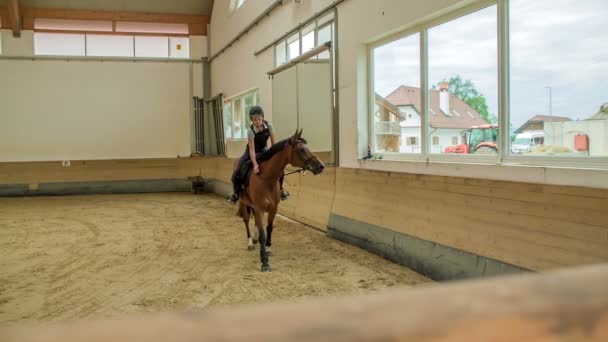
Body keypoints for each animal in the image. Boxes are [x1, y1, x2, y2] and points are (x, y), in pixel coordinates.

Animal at [235, 129, 326, 272]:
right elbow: (263, 233)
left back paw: (254, 239)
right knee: (246, 220)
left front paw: (267, 249)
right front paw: (264, 262)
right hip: (243, 203)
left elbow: (269, 228)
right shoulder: (259, 209)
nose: (321, 166)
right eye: (301, 149)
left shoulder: (273, 209)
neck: (266, 179)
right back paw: (250, 242)